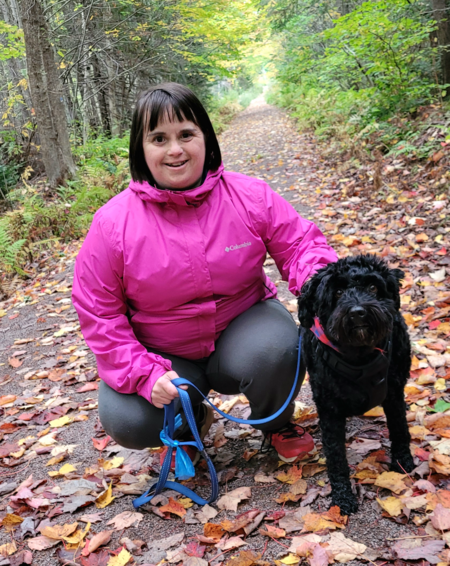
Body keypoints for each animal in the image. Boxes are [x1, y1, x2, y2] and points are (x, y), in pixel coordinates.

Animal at [298, 255, 414, 516]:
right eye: (338, 292)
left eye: (372, 287)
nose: (358, 312)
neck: (359, 355)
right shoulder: (329, 409)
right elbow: (335, 456)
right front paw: (342, 497)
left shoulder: (394, 393)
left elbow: (400, 429)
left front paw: (403, 462)